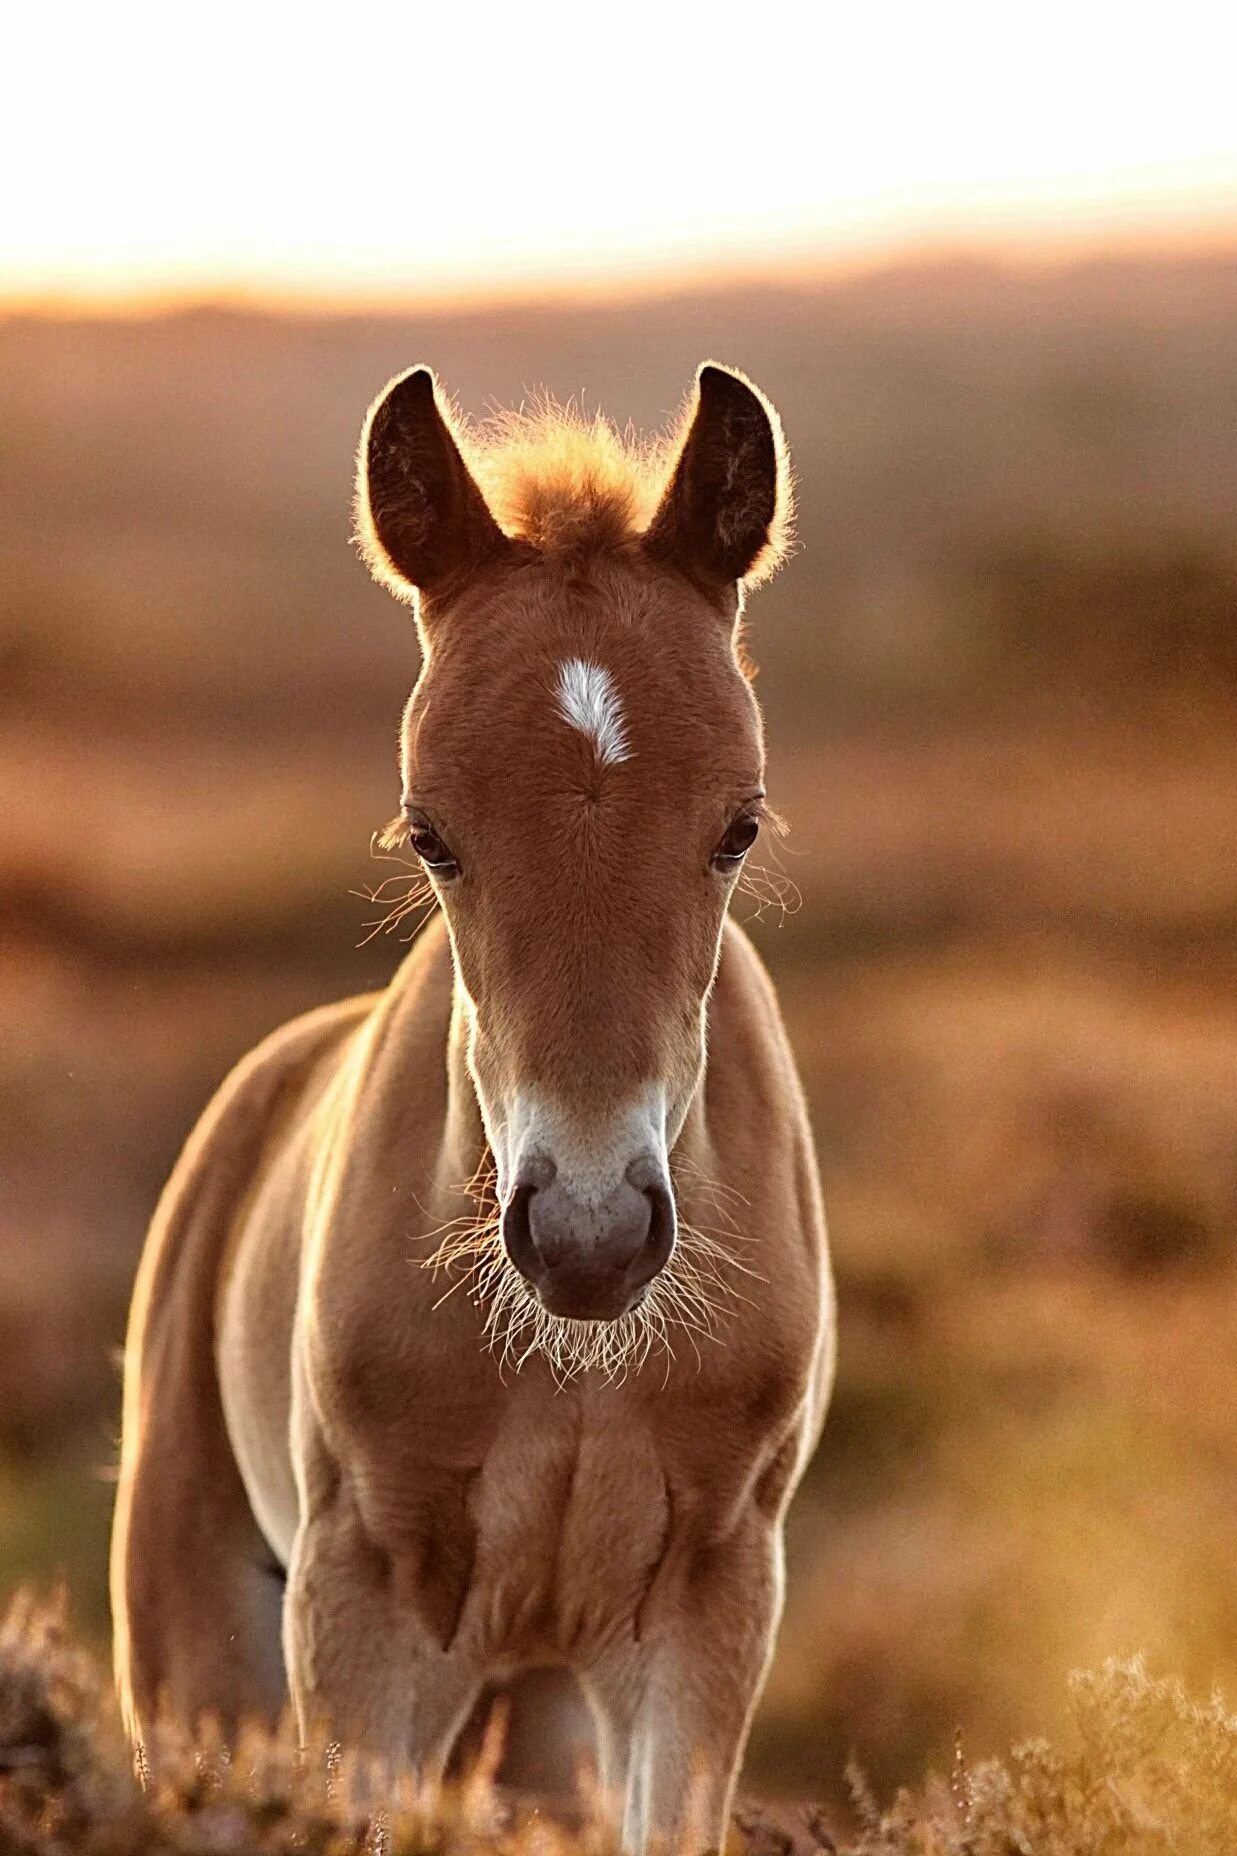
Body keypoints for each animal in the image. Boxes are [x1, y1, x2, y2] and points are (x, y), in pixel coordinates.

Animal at [110, 361, 832, 1856]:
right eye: (429, 832)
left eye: (737, 827)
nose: (589, 1237)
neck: (577, 1364)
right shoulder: (361, 1609)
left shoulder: (711, 1606)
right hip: (197, 1653)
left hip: (536, 1710)